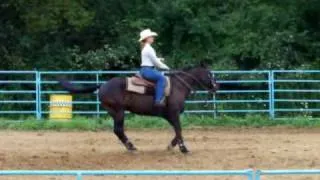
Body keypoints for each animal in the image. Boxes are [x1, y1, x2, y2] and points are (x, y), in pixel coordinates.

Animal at [58, 64, 219, 154]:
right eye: (210, 74)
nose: (216, 86)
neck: (178, 87)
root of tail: (103, 85)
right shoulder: (173, 114)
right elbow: (179, 130)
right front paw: (184, 149)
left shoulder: (170, 116)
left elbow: (177, 131)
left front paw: (171, 146)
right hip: (119, 111)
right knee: (118, 130)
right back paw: (131, 147)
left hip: (114, 112)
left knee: (118, 131)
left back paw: (131, 147)